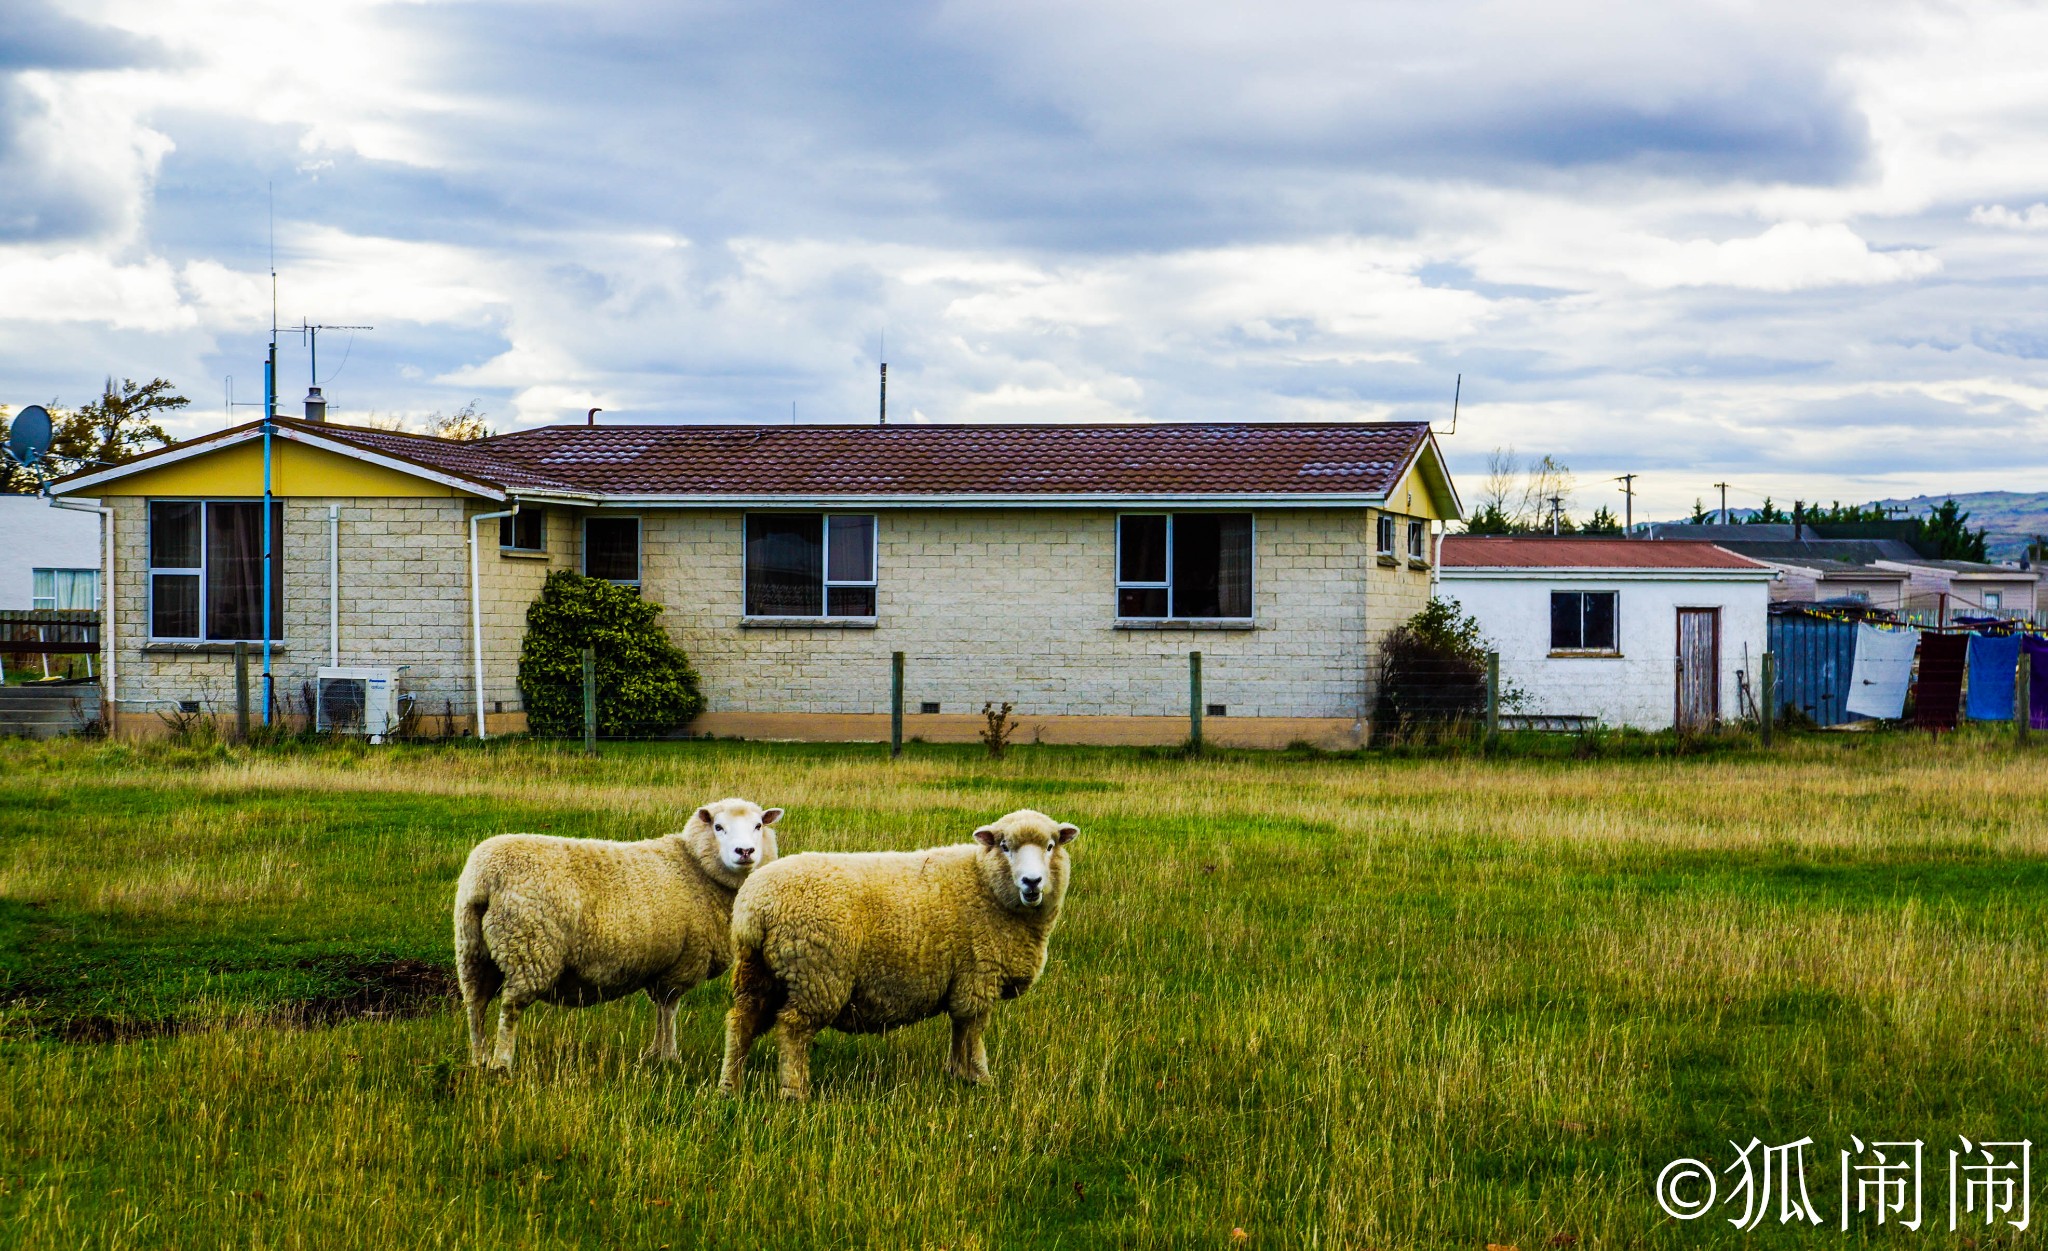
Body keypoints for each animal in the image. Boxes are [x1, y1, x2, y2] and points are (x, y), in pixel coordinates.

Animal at [452, 798, 778, 1072]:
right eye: (719, 827)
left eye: (758, 826)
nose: (745, 852)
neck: (695, 867)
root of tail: (485, 877)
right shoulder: (681, 965)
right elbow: (670, 1010)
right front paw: (669, 1056)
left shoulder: (661, 967)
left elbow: (660, 1011)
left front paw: (654, 1054)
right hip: (530, 948)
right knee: (510, 1009)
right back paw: (501, 1064)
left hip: (472, 947)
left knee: (475, 1005)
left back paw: (479, 1058)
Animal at [716, 810, 1073, 1097]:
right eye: (1005, 846)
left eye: (1050, 846)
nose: (1032, 882)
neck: (984, 884)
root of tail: (755, 906)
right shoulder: (978, 976)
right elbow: (972, 1031)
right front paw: (980, 1079)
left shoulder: (965, 981)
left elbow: (960, 1029)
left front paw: (957, 1075)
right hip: (816, 974)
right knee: (793, 1028)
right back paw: (795, 1092)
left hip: (758, 970)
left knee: (741, 1020)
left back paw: (730, 1087)